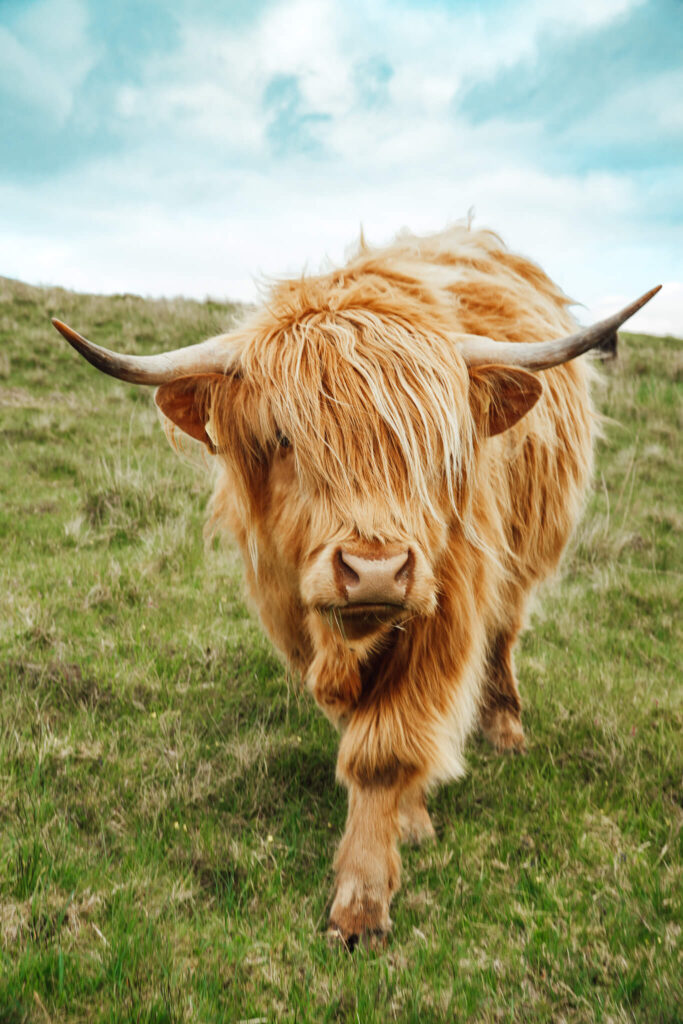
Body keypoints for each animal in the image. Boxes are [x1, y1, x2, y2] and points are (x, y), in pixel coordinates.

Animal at [50, 228, 659, 946]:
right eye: (284, 438)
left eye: (433, 444)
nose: (374, 570)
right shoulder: (291, 611)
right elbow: (362, 728)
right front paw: (408, 818)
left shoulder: (447, 609)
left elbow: (385, 750)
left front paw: (363, 900)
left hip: (527, 556)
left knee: (506, 635)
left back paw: (506, 727)